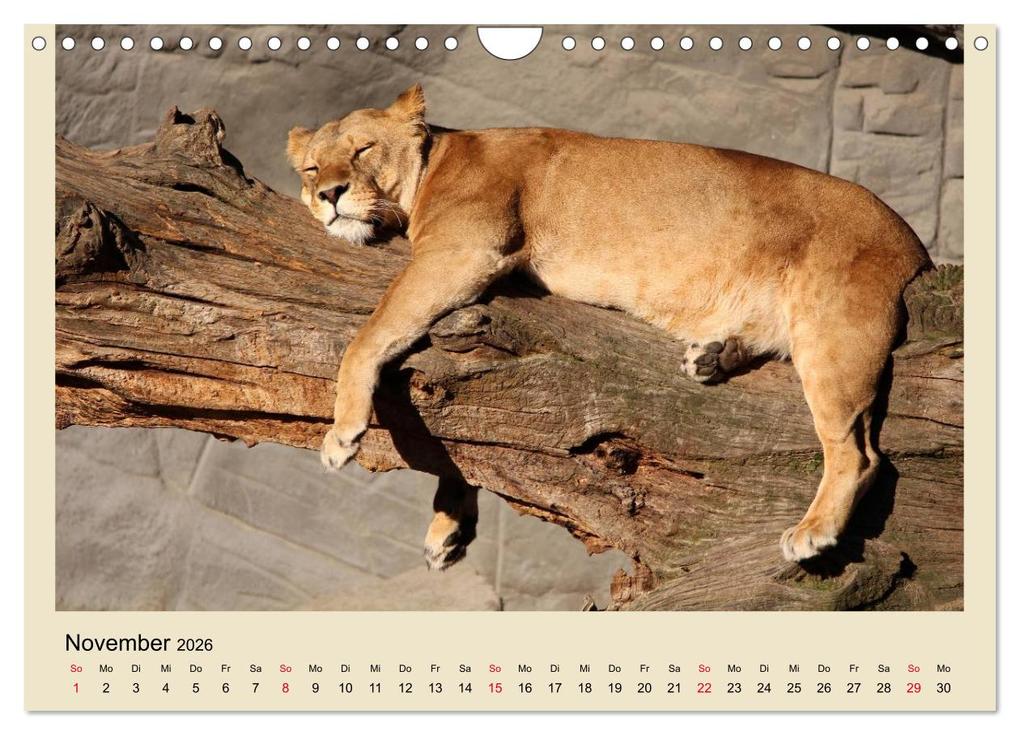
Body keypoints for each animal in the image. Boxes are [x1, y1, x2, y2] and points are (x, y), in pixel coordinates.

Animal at [287, 84, 932, 569]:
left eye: (363, 150)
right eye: (313, 167)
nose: (328, 195)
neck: (437, 160)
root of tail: (915, 244)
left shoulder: (464, 251)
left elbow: (371, 332)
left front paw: (341, 435)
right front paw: (448, 526)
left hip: (835, 332)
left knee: (860, 452)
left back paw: (814, 530)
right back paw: (711, 355)